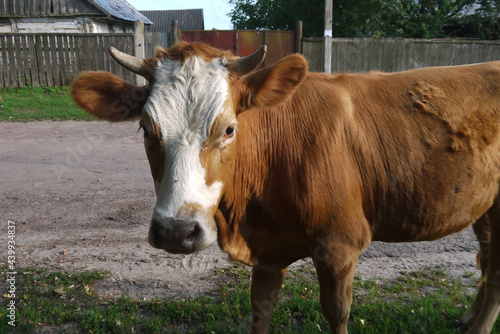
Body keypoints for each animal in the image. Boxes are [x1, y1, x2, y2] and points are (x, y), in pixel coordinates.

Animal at [71, 42, 500, 334]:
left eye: (229, 129)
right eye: (146, 129)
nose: (176, 231)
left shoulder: (340, 244)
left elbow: (337, 312)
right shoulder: (267, 250)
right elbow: (261, 309)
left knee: (494, 271)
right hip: (484, 207)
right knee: (486, 261)